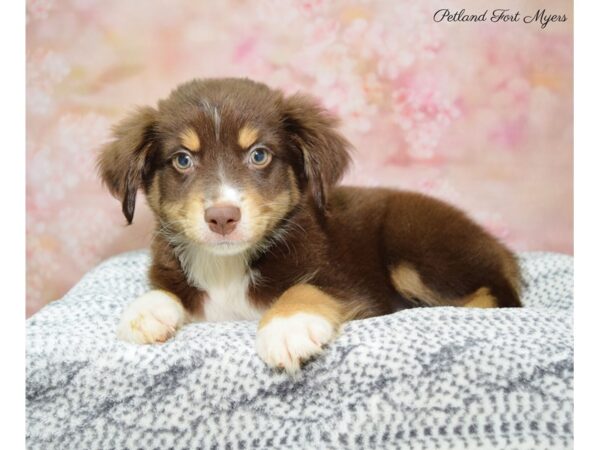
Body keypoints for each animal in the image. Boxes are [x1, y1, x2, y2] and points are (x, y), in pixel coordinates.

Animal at [98, 77, 520, 372]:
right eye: (183, 160)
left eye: (259, 155)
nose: (222, 217)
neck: (226, 266)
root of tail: (498, 247)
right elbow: (167, 289)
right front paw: (144, 312)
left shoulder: (353, 287)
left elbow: (306, 288)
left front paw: (287, 327)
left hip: (417, 246)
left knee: (495, 297)